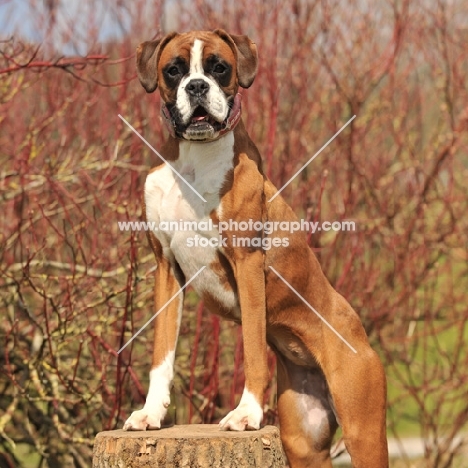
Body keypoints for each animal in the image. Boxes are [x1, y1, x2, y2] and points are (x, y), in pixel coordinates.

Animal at [123, 30, 388, 468]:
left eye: (219, 67)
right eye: (174, 70)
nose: (197, 86)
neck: (194, 159)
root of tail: (359, 334)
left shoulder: (246, 263)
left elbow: (250, 345)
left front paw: (246, 414)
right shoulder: (166, 268)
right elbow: (162, 353)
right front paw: (150, 413)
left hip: (364, 432)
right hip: (303, 442)